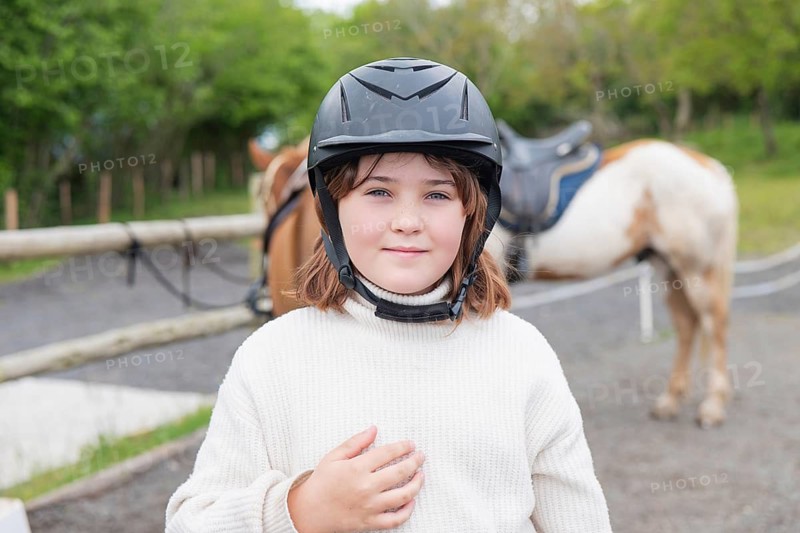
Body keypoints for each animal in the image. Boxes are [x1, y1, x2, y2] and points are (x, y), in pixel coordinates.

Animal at [259, 128, 738, 428]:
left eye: (280, 193)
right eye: (262, 193)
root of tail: (708, 166)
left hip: (696, 267)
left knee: (713, 325)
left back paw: (713, 407)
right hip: (667, 265)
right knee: (687, 325)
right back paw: (671, 400)